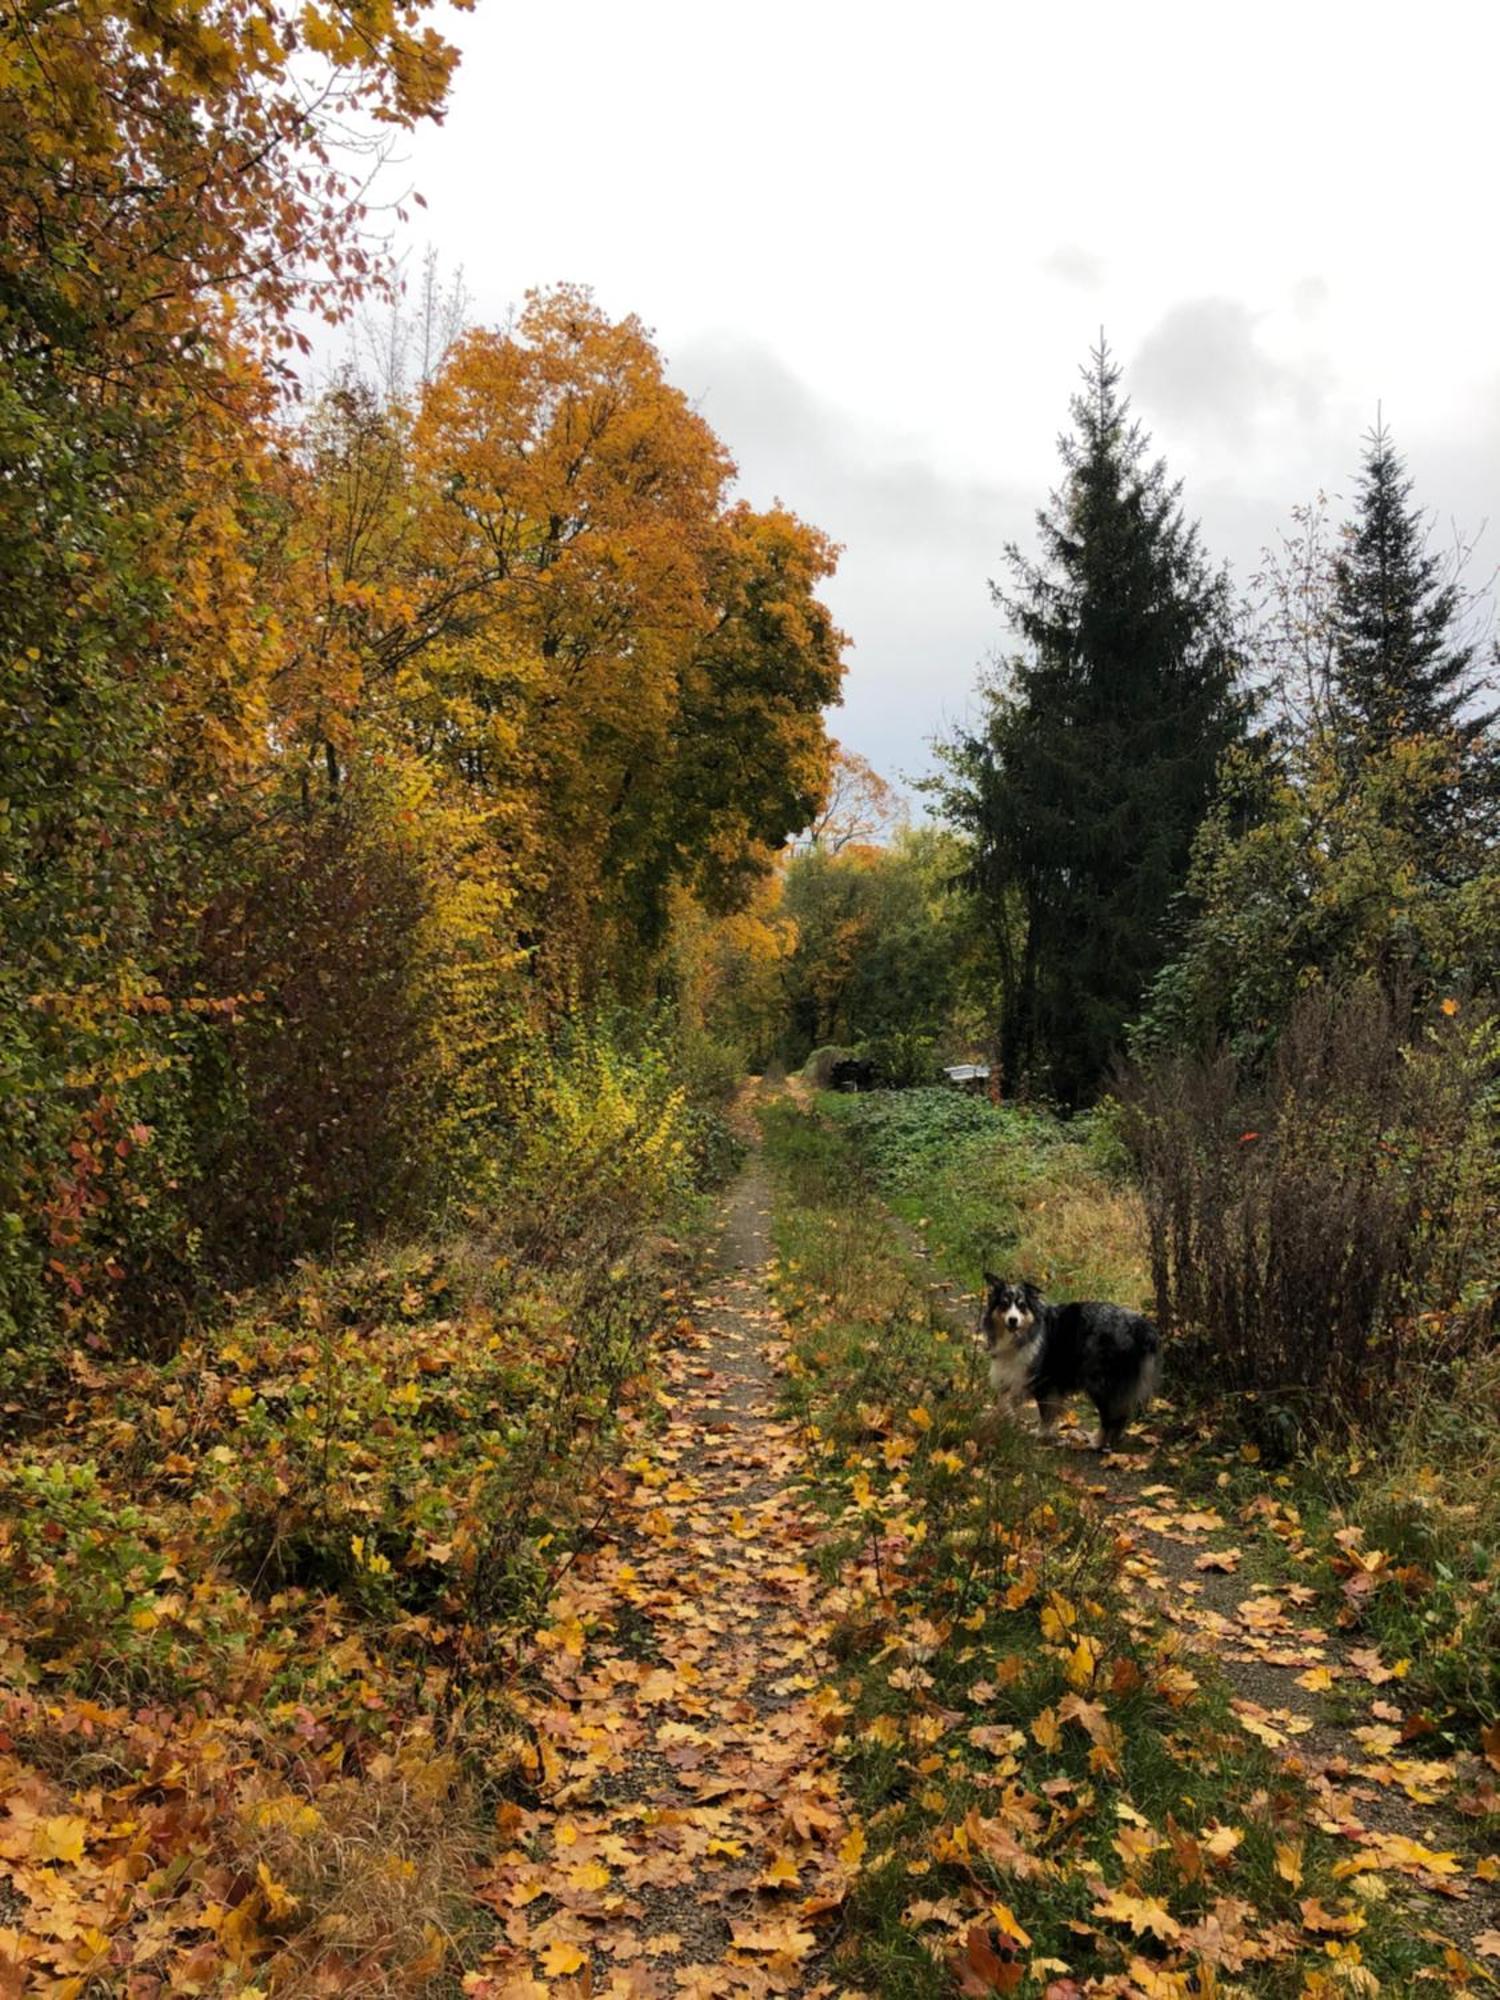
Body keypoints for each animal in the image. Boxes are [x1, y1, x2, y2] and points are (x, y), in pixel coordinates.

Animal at [988, 1280, 1160, 1456]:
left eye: (1022, 1306)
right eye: (1004, 1304)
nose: (1012, 1320)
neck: (1026, 1333)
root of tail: (1142, 1328)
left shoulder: (1043, 1381)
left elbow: (1045, 1411)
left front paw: (1041, 1433)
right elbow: (1003, 1401)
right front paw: (1008, 1417)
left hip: (1100, 1383)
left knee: (1111, 1417)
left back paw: (1097, 1443)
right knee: (1120, 1415)